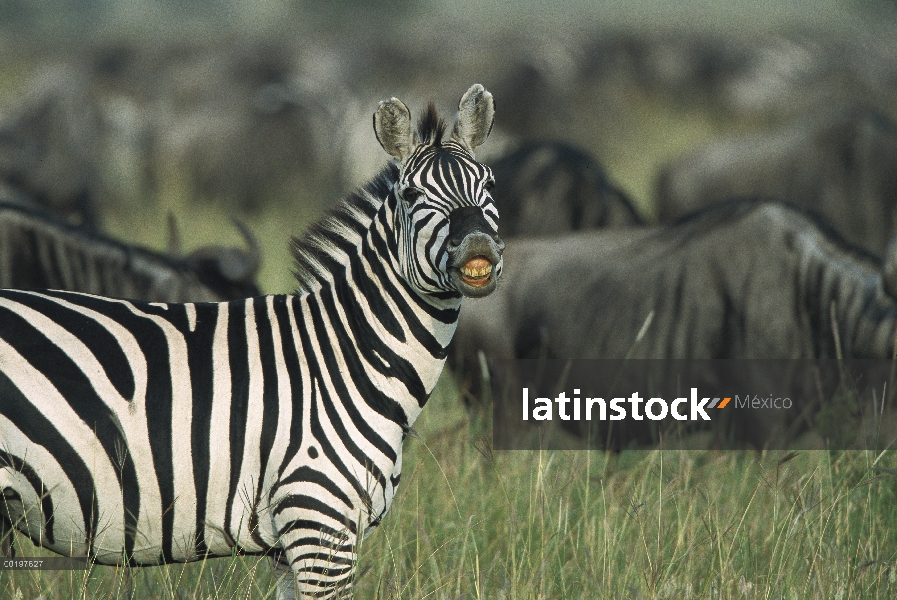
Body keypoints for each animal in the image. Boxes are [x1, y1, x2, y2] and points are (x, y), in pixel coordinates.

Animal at [0, 83, 500, 600]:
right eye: (411, 194)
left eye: (489, 184)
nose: (479, 246)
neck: (346, 357)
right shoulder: (320, 528)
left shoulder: (288, 547)